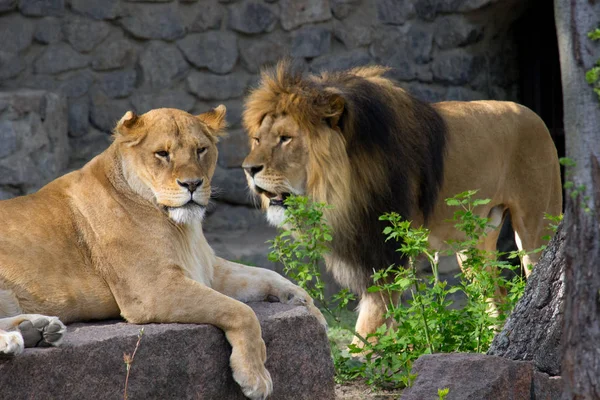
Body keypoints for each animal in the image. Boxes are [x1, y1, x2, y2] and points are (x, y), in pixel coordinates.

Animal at [0, 104, 326, 398]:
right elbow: (240, 310)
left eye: (201, 150)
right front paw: (255, 376)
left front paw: (311, 311)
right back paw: (12, 341)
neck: (182, 227)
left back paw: (38, 329)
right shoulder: (153, 289)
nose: (192, 184)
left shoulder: (207, 268)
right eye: (162, 154)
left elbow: (268, 275)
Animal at [239, 61, 564, 346]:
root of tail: (532, 113)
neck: (343, 188)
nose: (248, 169)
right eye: (257, 139)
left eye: (285, 138)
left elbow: (372, 320)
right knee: (492, 296)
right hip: (473, 245)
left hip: (537, 230)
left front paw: (365, 360)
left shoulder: (386, 248)